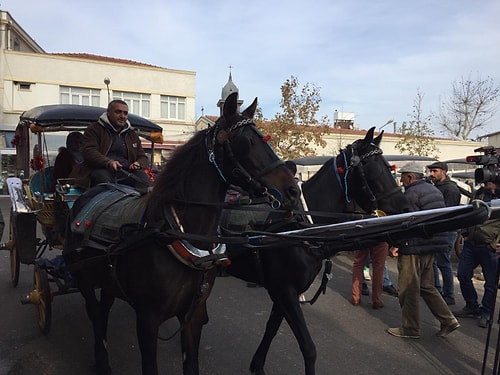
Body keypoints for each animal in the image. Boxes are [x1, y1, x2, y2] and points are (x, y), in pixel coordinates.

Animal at [63, 92, 300, 375]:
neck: (178, 233)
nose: (293, 190)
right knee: (95, 315)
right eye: (246, 143)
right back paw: (101, 360)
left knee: (104, 309)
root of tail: (91, 192)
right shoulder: (147, 319)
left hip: (108, 278)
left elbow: (192, 363)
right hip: (84, 280)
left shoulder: (193, 315)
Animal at [225, 127, 412, 375]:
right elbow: (308, 347)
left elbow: (271, 328)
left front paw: (257, 365)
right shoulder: (285, 291)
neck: (301, 226)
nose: (407, 208)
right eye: (373, 168)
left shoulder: (284, 292)